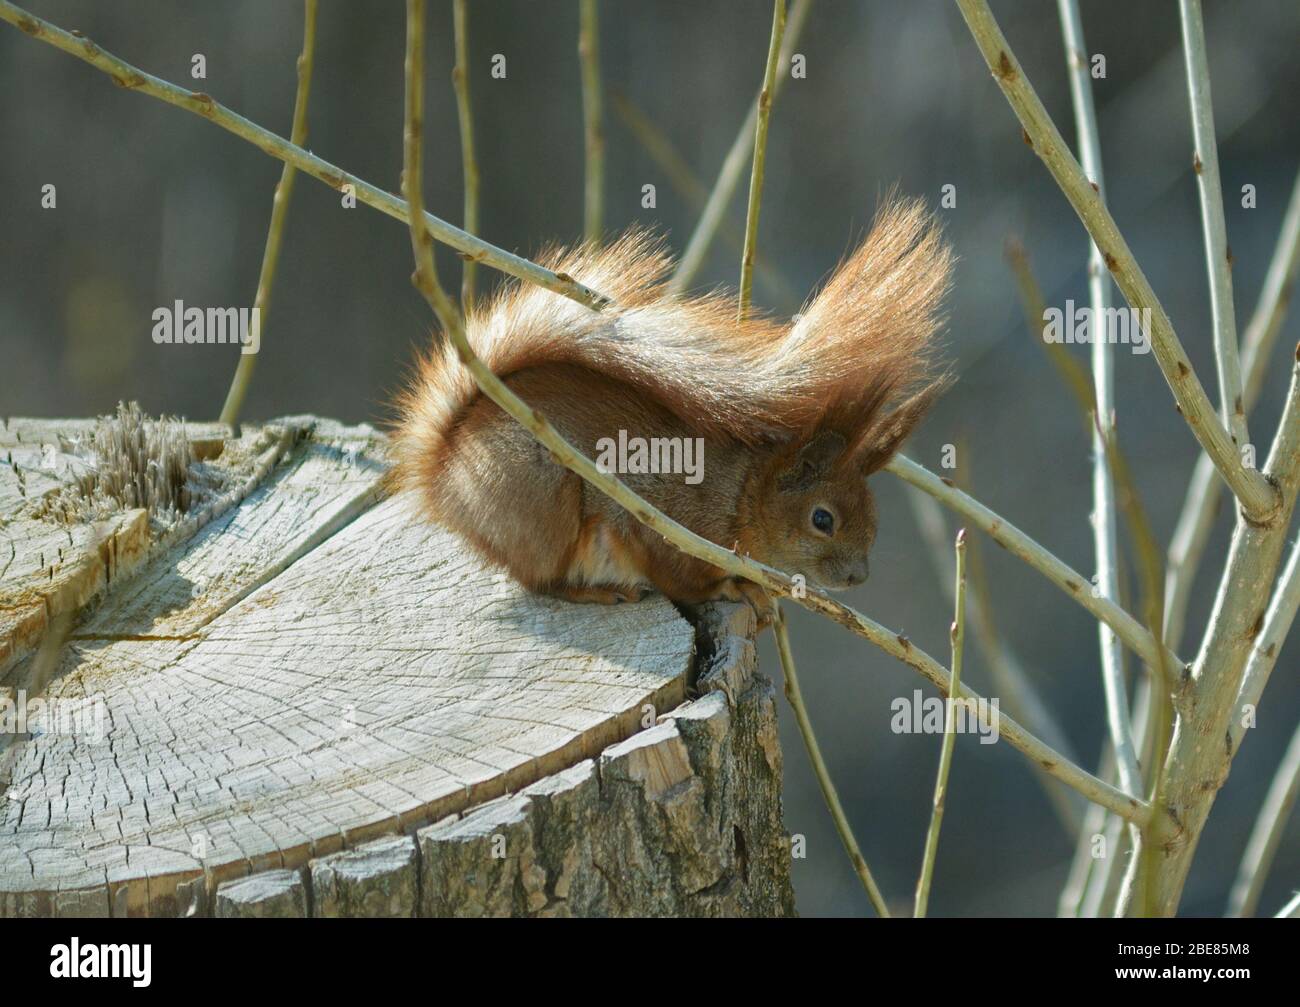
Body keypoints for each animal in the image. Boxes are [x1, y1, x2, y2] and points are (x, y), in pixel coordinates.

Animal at [391, 197, 952, 617]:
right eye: (822, 519)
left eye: (873, 514)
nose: (859, 577)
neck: (740, 497)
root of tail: (443, 471)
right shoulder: (655, 523)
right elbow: (678, 578)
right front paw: (733, 589)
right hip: (542, 503)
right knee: (540, 582)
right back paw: (596, 591)